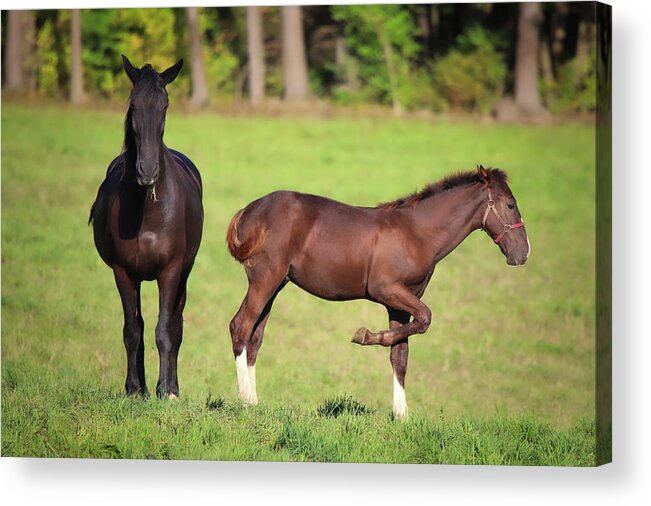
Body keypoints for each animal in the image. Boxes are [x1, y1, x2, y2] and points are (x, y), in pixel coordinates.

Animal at [88, 57, 202, 400]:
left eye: (164, 106)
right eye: (134, 104)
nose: (147, 171)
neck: (147, 212)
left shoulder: (172, 270)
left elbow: (165, 330)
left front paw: (166, 390)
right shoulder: (123, 271)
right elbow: (132, 329)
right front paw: (134, 389)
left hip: (184, 274)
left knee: (176, 325)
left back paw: (172, 387)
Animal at [227, 166, 528, 420]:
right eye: (510, 205)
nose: (523, 253)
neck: (417, 233)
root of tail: (248, 210)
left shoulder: (400, 303)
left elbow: (400, 355)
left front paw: (401, 415)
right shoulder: (387, 290)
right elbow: (426, 318)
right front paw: (366, 336)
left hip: (277, 285)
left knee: (255, 336)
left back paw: (254, 401)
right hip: (265, 280)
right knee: (240, 326)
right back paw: (244, 400)